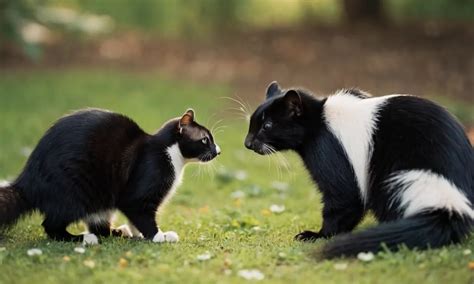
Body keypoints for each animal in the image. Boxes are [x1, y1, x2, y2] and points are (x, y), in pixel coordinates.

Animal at [0, 107, 218, 245]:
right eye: (205, 140)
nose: (218, 151)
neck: (170, 153)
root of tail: (26, 181)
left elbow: (135, 220)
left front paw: (139, 234)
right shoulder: (142, 186)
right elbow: (140, 213)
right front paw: (158, 236)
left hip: (100, 199)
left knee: (100, 226)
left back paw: (118, 232)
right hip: (73, 191)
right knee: (52, 226)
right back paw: (84, 238)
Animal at [244, 81, 474, 258]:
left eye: (267, 126)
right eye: (252, 123)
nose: (248, 143)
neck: (320, 118)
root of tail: (451, 201)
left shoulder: (330, 150)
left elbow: (345, 196)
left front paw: (316, 235)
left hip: (400, 177)